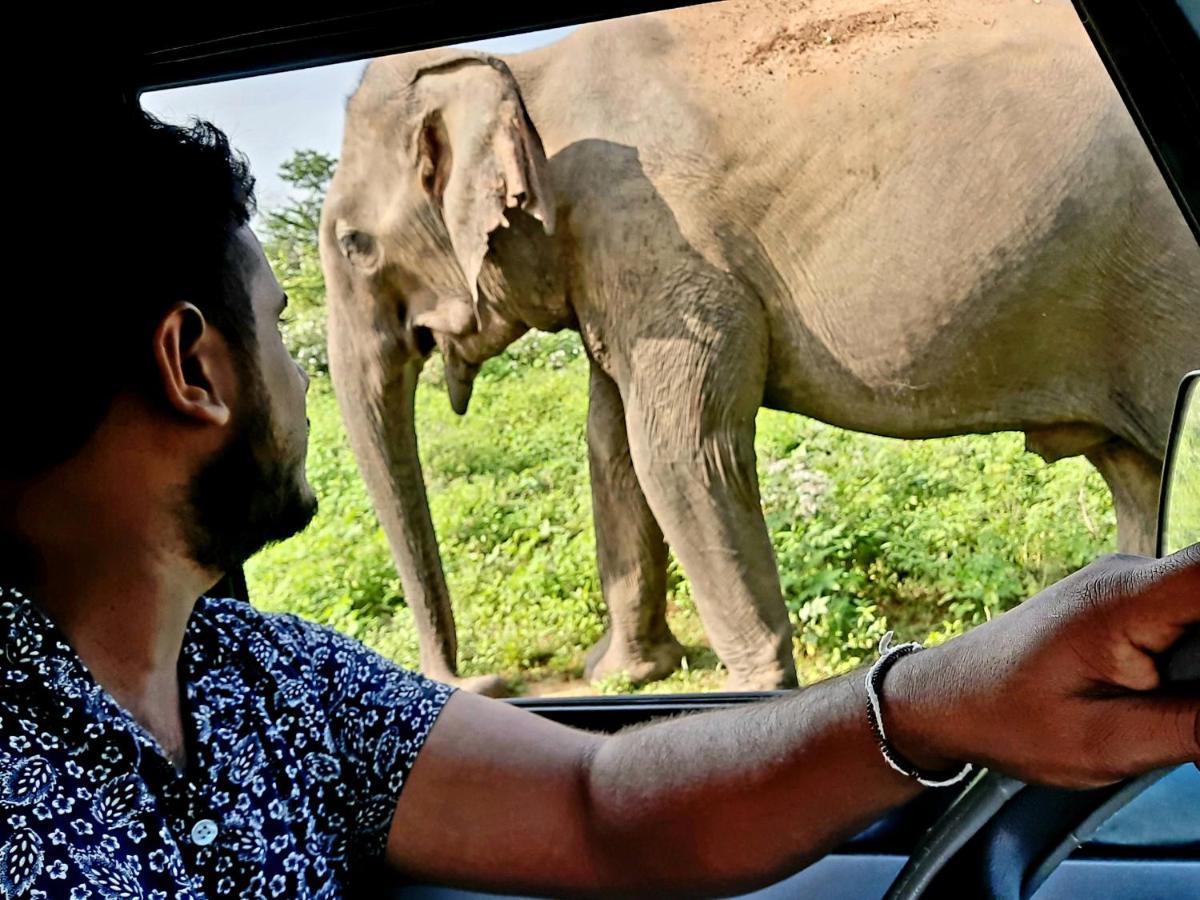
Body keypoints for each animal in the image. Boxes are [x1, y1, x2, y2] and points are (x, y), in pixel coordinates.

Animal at [319, 0, 1200, 696]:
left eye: (356, 245)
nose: (481, 683)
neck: (524, 69)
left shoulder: (658, 236)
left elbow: (680, 449)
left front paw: (748, 691)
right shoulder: (617, 262)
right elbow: (612, 447)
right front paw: (626, 675)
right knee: (1133, 472)